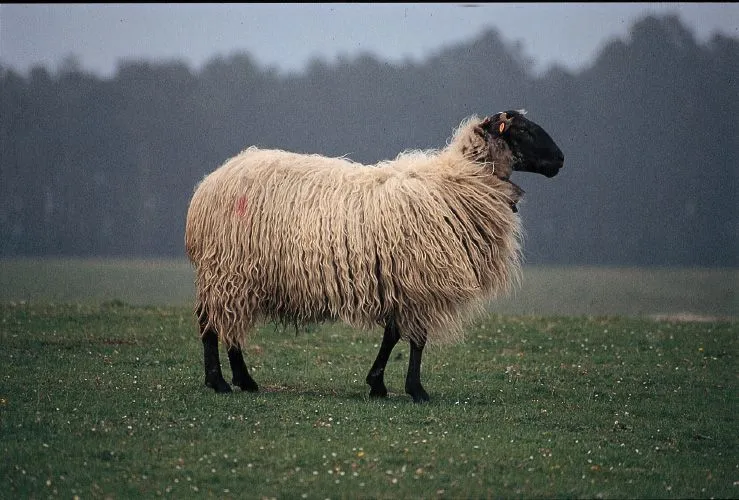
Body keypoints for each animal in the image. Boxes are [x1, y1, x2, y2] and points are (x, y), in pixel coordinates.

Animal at [186, 109, 568, 402]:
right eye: (523, 130)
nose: (561, 160)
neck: (457, 183)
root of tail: (210, 183)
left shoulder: (403, 282)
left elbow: (394, 335)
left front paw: (378, 384)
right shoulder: (420, 280)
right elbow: (415, 340)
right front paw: (415, 390)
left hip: (237, 274)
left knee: (227, 323)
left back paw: (244, 381)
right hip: (229, 268)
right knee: (212, 323)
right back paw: (220, 382)